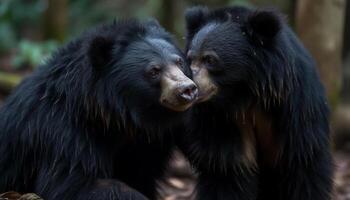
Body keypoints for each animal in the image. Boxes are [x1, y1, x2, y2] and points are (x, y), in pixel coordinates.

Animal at [0, 19, 198, 200]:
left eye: (180, 62)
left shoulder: (155, 137)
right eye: (154, 71)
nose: (187, 89)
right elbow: (71, 183)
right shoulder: (62, 131)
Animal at [180, 5, 334, 199]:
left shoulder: (296, 107)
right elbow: (228, 168)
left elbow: (302, 163)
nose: (191, 87)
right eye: (190, 59)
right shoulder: (219, 120)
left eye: (210, 60)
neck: (244, 93)